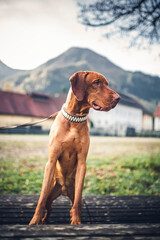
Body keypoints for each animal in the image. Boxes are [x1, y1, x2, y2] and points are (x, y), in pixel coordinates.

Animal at [29, 70, 120, 225]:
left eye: (107, 84)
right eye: (96, 82)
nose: (118, 98)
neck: (74, 119)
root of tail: (64, 190)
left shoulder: (82, 163)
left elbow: (77, 201)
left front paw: (76, 222)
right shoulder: (51, 161)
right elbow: (41, 199)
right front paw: (34, 222)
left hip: (72, 189)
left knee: (70, 204)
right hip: (51, 189)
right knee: (48, 205)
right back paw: (43, 220)